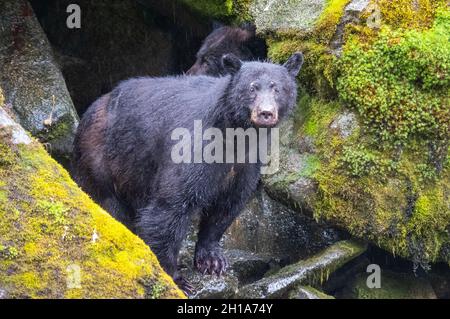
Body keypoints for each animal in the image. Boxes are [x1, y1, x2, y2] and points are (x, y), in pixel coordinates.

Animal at [71, 52, 302, 296]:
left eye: (277, 88)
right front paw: (175, 278)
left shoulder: (246, 165)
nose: (265, 112)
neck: (234, 136)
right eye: (252, 88)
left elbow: (227, 206)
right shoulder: (193, 148)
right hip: (101, 160)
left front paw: (212, 260)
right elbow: (169, 209)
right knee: (110, 205)